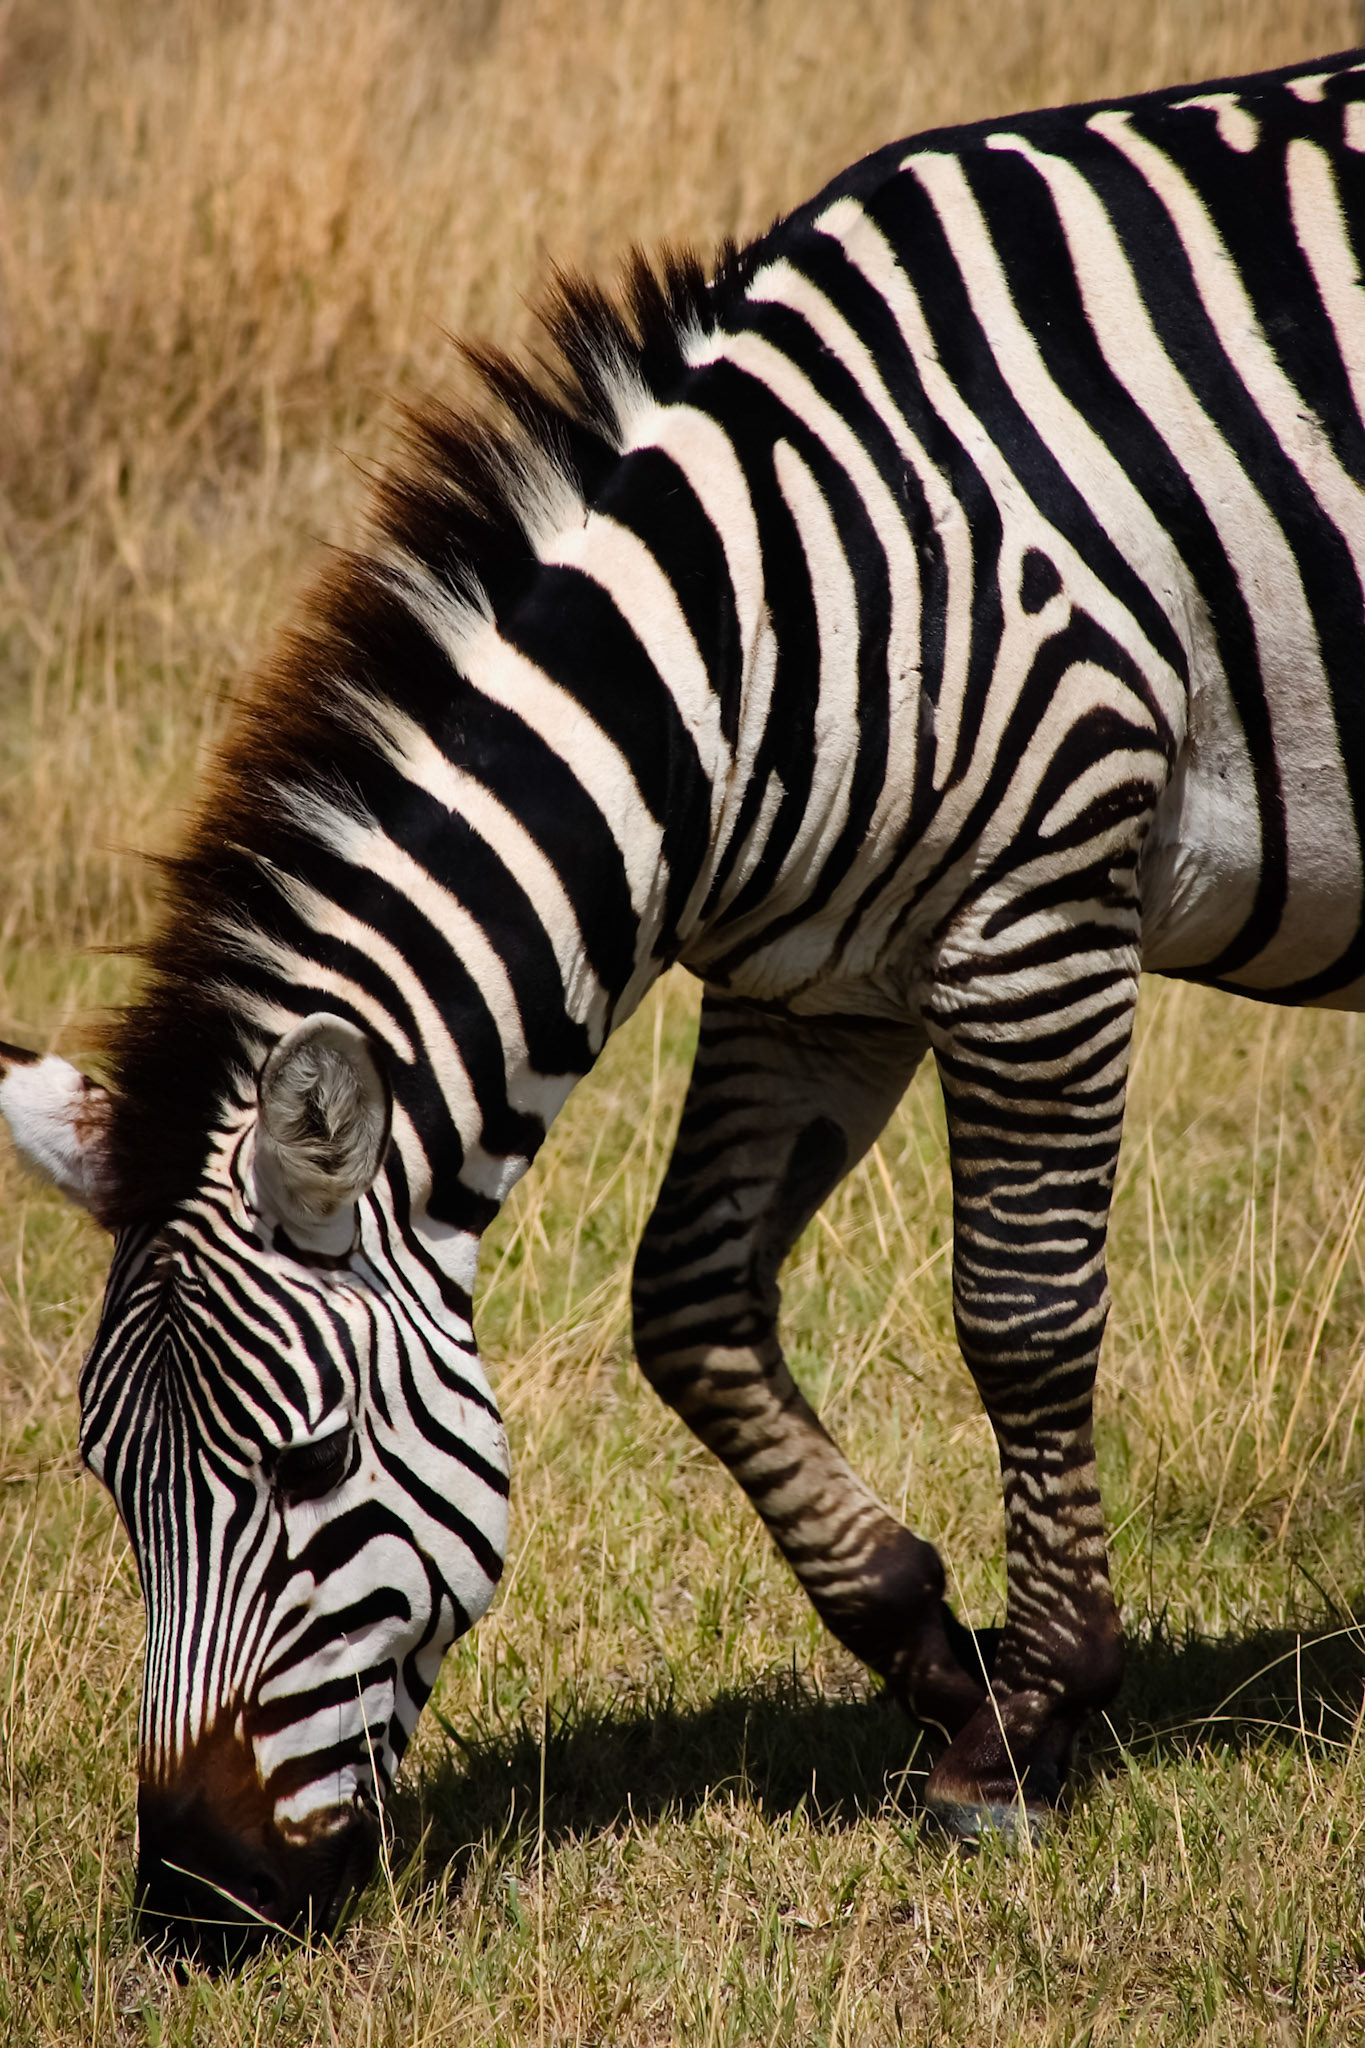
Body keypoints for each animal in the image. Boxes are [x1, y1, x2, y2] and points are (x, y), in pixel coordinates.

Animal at [3, 43, 1365, 1956]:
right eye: (112, 1488)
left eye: (308, 1467)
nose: (198, 1902)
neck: (772, 623)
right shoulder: (814, 981)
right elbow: (692, 1305)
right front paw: (927, 1650)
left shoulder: (1038, 913)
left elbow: (1020, 1316)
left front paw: (1038, 1715)